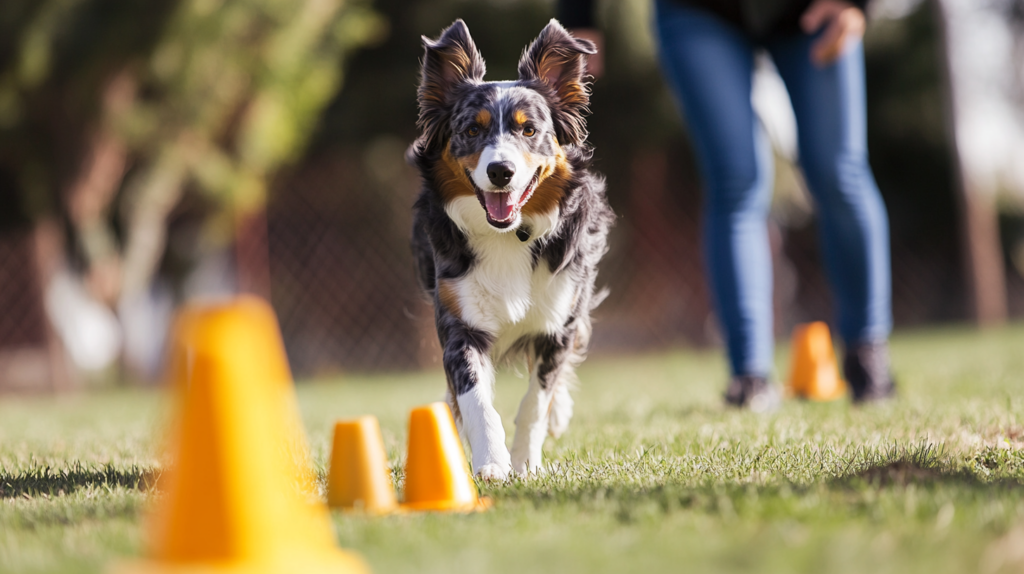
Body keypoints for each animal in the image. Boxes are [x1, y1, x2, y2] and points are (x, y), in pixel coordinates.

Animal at [407, 17, 614, 476]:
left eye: (529, 130)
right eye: (472, 130)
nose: (500, 171)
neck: (508, 235)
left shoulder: (558, 321)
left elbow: (537, 399)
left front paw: (525, 463)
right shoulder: (459, 322)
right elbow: (476, 399)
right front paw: (492, 463)